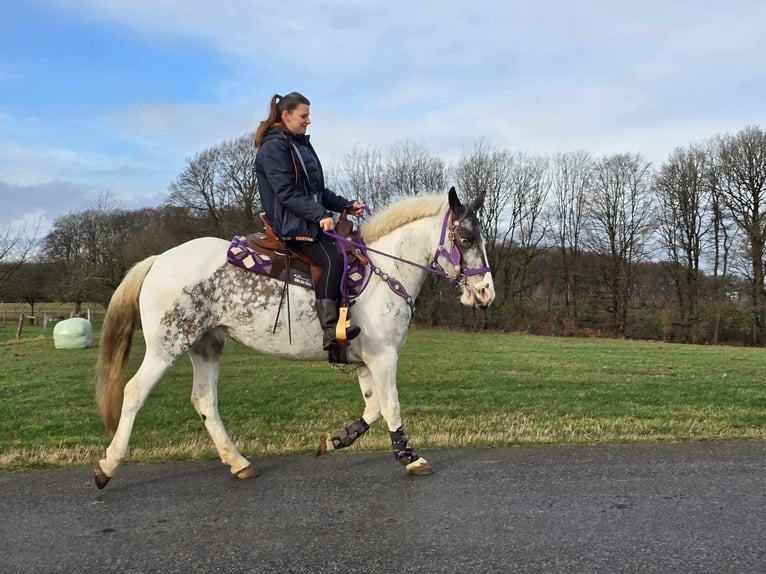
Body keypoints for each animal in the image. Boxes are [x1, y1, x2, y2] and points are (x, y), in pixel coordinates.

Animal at [93, 188, 498, 490]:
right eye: (465, 238)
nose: (485, 293)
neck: (386, 270)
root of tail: (159, 259)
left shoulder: (365, 362)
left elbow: (373, 409)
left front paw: (335, 439)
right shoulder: (384, 357)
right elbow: (391, 407)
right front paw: (410, 458)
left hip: (206, 345)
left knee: (204, 400)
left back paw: (238, 462)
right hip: (168, 346)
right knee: (133, 392)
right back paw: (107, 466)